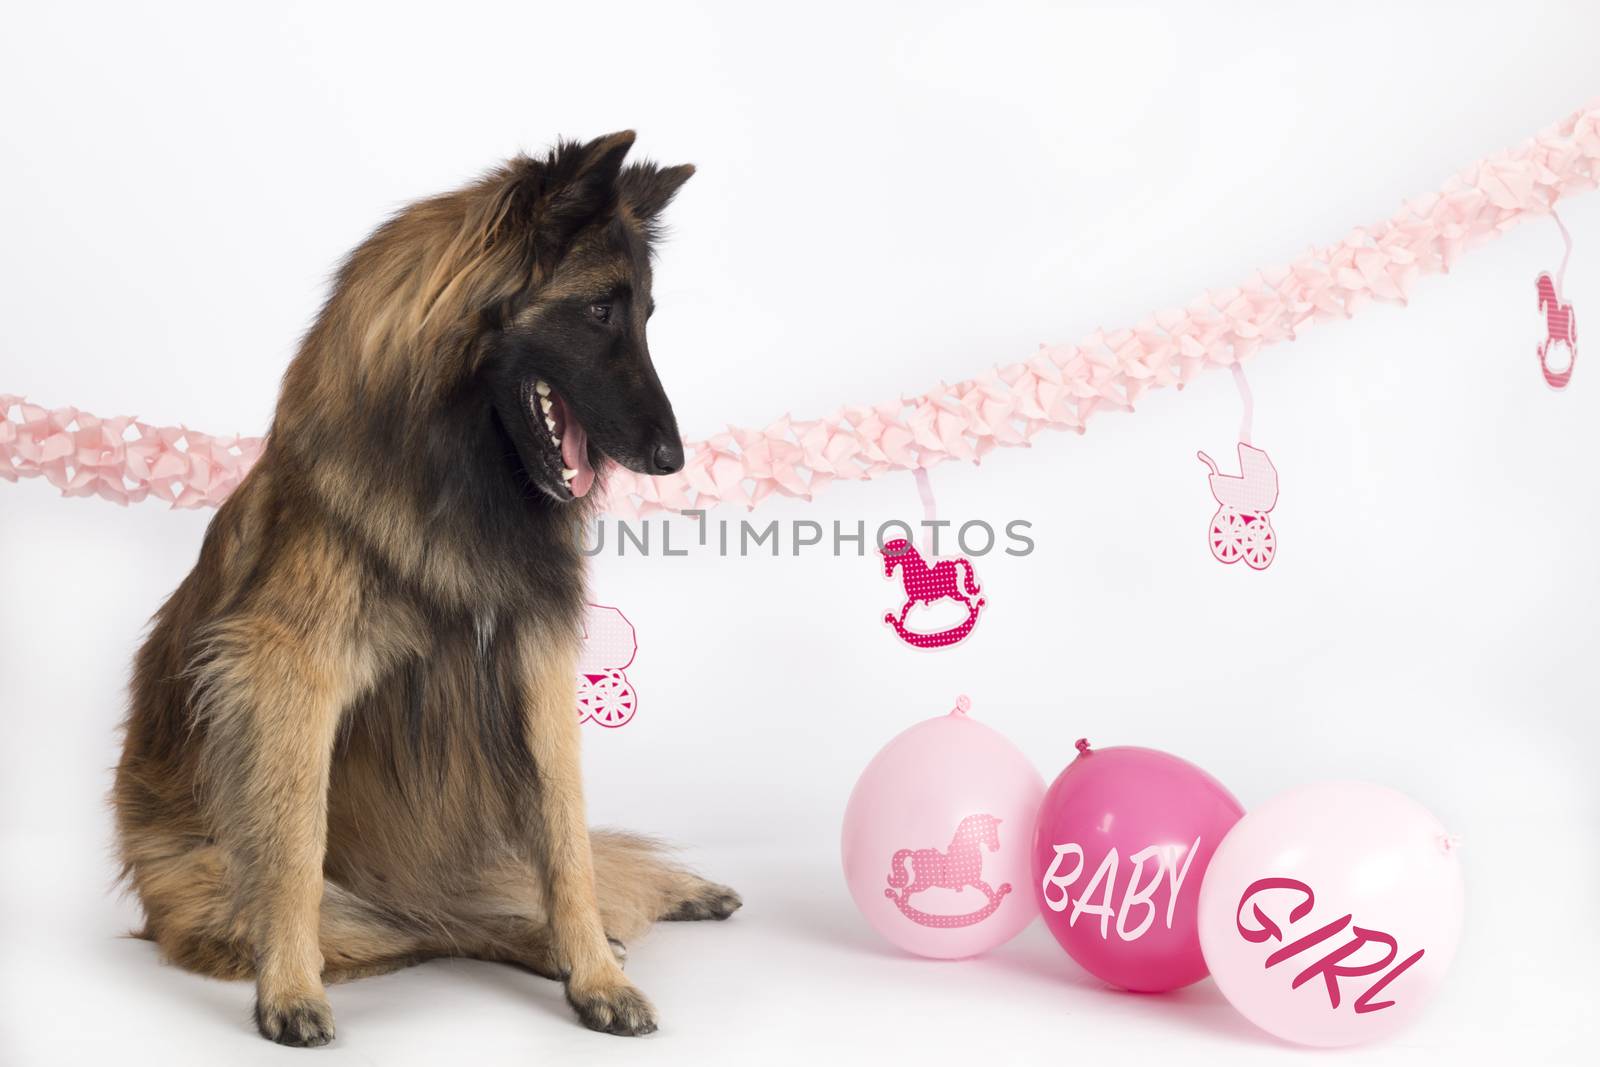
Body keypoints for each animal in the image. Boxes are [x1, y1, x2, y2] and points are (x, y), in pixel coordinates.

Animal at [112, 131, 736, 1043]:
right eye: (598, 312)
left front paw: (593, 972)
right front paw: (289, 990)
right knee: (421, 926)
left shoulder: (537, 660)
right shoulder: (288, 672)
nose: (670, 459)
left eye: (647, 315)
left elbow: (569, 841)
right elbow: (295, 849)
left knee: (507, 894)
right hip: (217, 883)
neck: (461, 475)